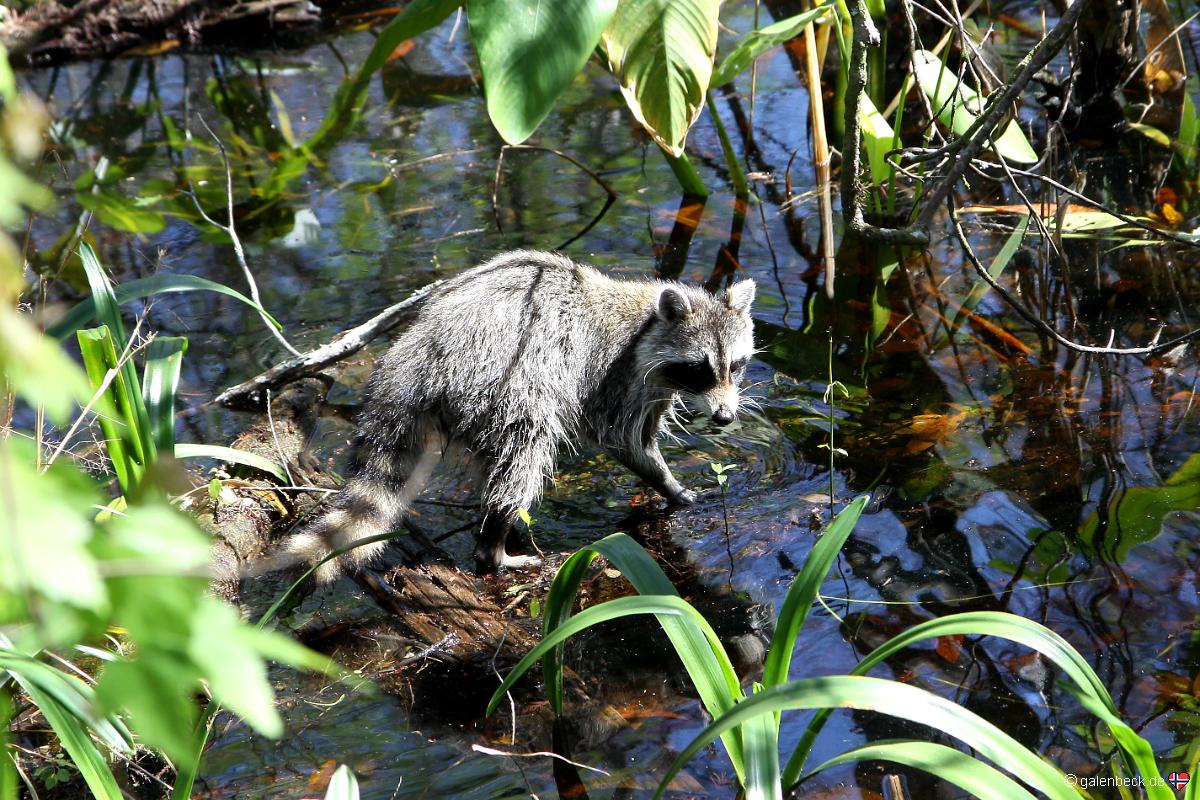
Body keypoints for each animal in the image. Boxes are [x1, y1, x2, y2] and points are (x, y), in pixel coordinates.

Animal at [285, 250, 756, 581]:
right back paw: (495, 546)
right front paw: (668, 484)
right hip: (502, 381)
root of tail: (419, 352)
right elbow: (622, 438)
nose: (724, 417)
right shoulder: (617, 375)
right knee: (526, 448)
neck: (646, 322)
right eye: (699, 369)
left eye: (735, 365)